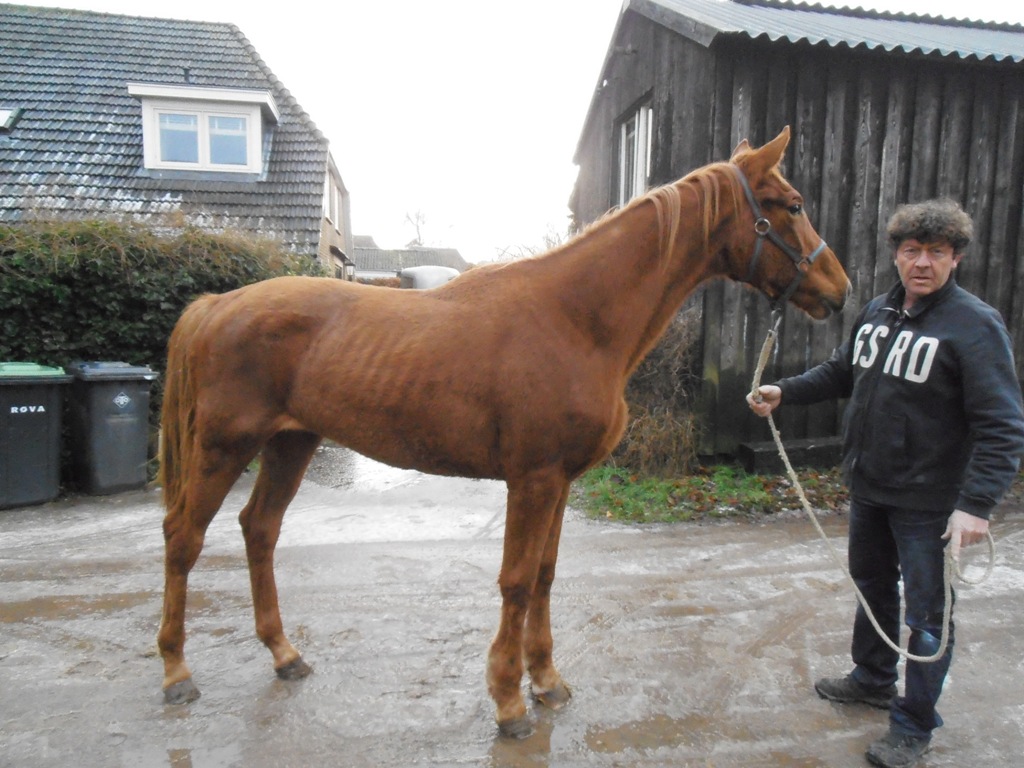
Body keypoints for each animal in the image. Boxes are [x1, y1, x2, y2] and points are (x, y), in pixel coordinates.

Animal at [155, 126, 851, 741]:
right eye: (792, 204)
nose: (840, 290)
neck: (575, 319)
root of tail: (216, 305)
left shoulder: (561, 482)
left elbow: (543, 575)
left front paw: (546, 682)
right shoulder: (533, 478)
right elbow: (515, 581)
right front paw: (509, 702)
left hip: (290, 443)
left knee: (259, 530)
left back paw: (284, 654)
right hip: (224, 447)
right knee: (184, 537)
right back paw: (176, 671)